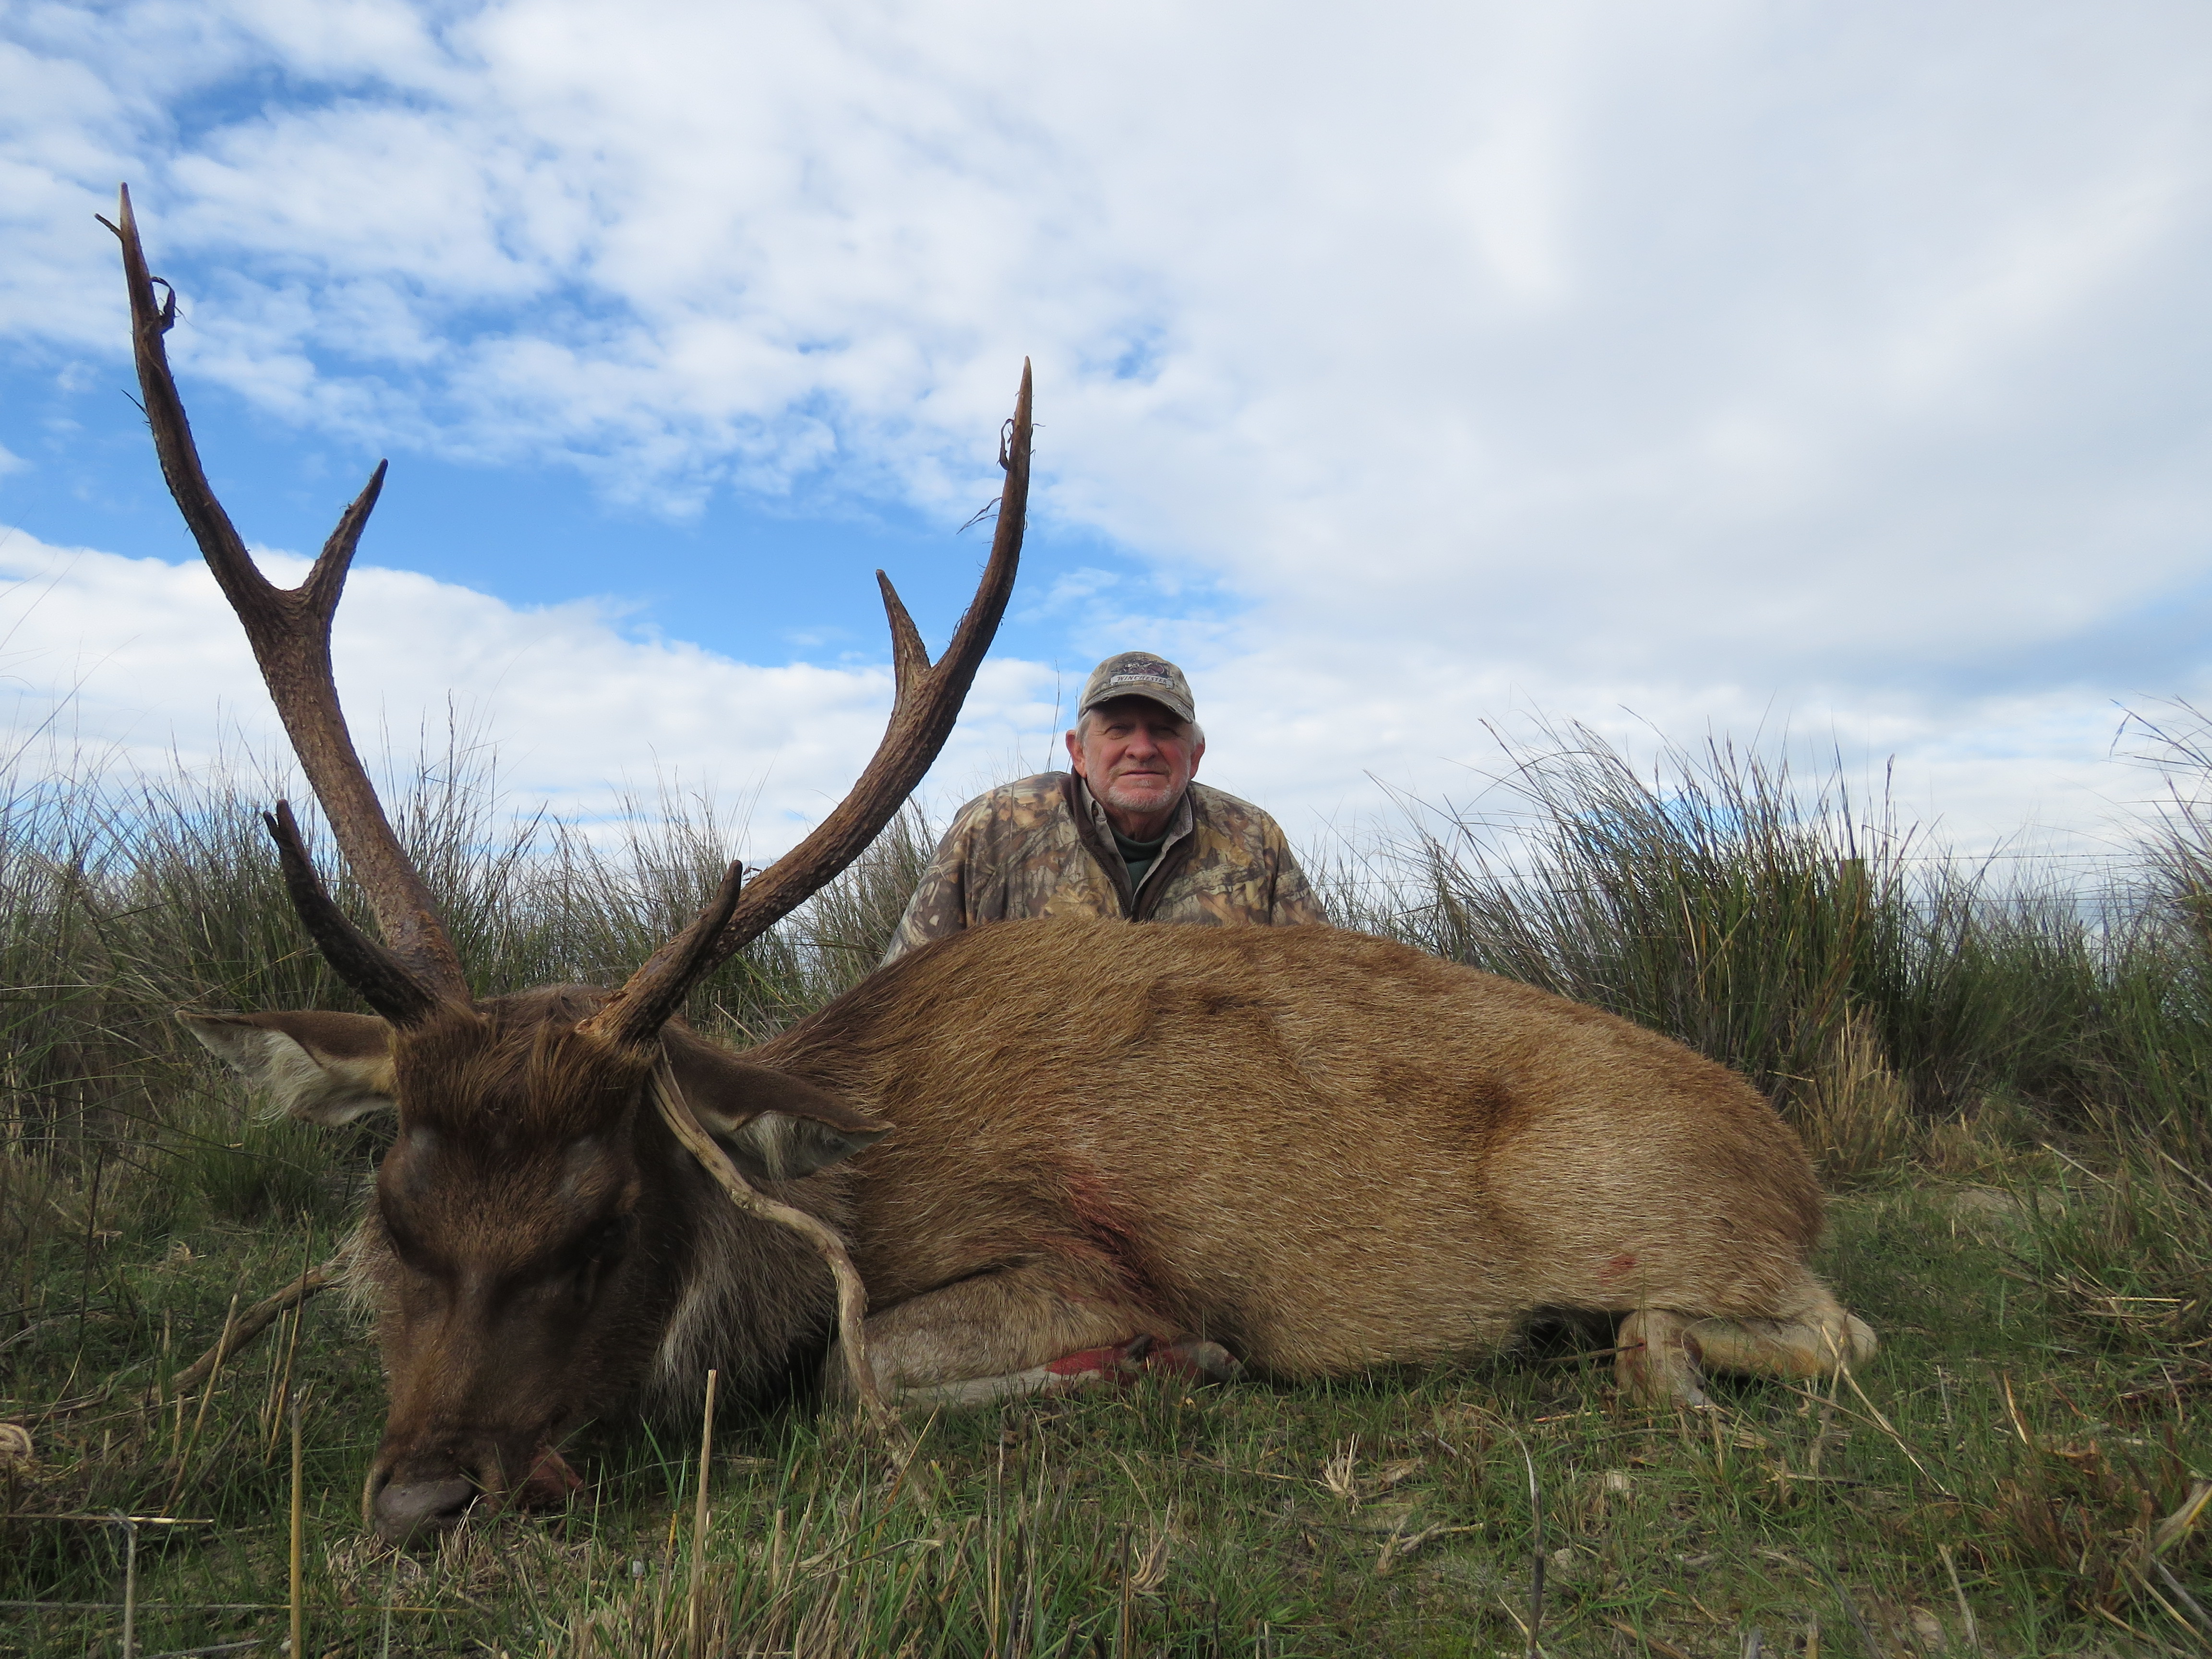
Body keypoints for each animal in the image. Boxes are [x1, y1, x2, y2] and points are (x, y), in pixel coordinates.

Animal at [107, 189, 1876, 1548]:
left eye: (604, 1221)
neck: (827, 1190)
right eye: (391, 1211)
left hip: (1638, 1214)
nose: (421, 1502)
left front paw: (1172, 1367)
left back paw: (1653, 1353)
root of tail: (1792, 1157)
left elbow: (858, 1372)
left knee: (1824, 1323)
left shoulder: (1081, 1259)